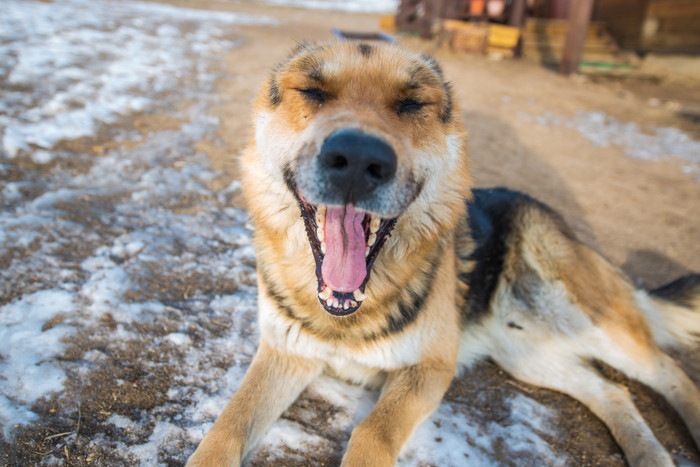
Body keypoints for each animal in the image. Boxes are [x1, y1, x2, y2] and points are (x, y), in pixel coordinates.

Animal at [186, 41, 700, 467]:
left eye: (411, 104)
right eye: (312, 92)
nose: (358, 159)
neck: (345, 318)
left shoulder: (430, 369)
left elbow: (371, 433)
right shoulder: (285, 354)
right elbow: (227, 427)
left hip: (580, 314)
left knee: (669, 370)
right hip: (526, 353)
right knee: (613, 393)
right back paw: (649, 456)